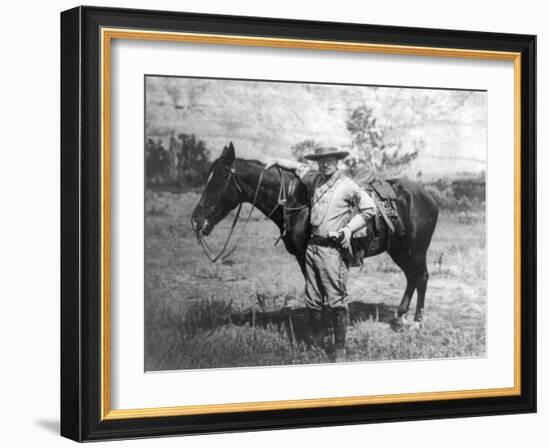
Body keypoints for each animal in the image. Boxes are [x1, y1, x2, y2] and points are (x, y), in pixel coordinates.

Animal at [192, 144, 442, 326]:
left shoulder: (306, 255)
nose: (196, 221)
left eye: (218, 180)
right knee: (412, 277)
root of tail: (427, 195)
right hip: (399, 250)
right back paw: (401, 317)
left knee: (421, 277)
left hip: (416, 250)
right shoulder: (304, 259)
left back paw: (417, 321)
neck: (296, 202)